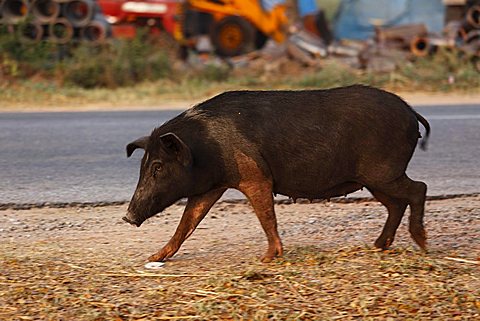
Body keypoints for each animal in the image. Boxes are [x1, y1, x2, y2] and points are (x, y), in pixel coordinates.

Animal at [124, 85, 432, 262]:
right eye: (142, 166)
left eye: (157, 166)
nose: (127, 217)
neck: (206, 147)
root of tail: (411, 111)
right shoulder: (211, 186)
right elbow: (188, 221)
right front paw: (155, 257)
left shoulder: (255, 176)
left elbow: (265, 215)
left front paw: (266, 259)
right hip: (374, 179)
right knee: (396, 203)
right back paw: (379, 246)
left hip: (384, 172)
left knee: (419, 188)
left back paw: (422, 244)